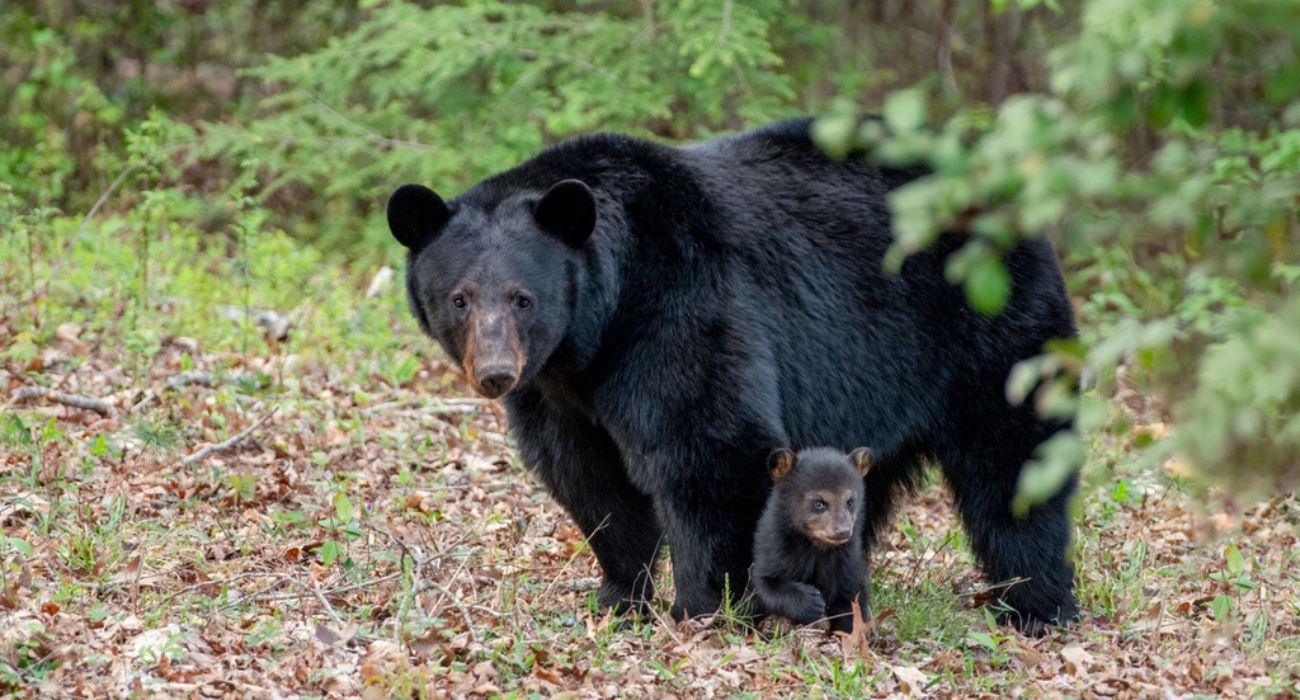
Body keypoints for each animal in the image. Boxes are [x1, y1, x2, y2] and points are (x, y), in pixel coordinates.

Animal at [752, 447, 873, 634]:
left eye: (850, 501)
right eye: (819, 503)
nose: (843, 531)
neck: (817, 547)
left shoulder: (847, 560)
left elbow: (852, 599)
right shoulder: (775, 548)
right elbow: (765, 582)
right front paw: (810, 602)